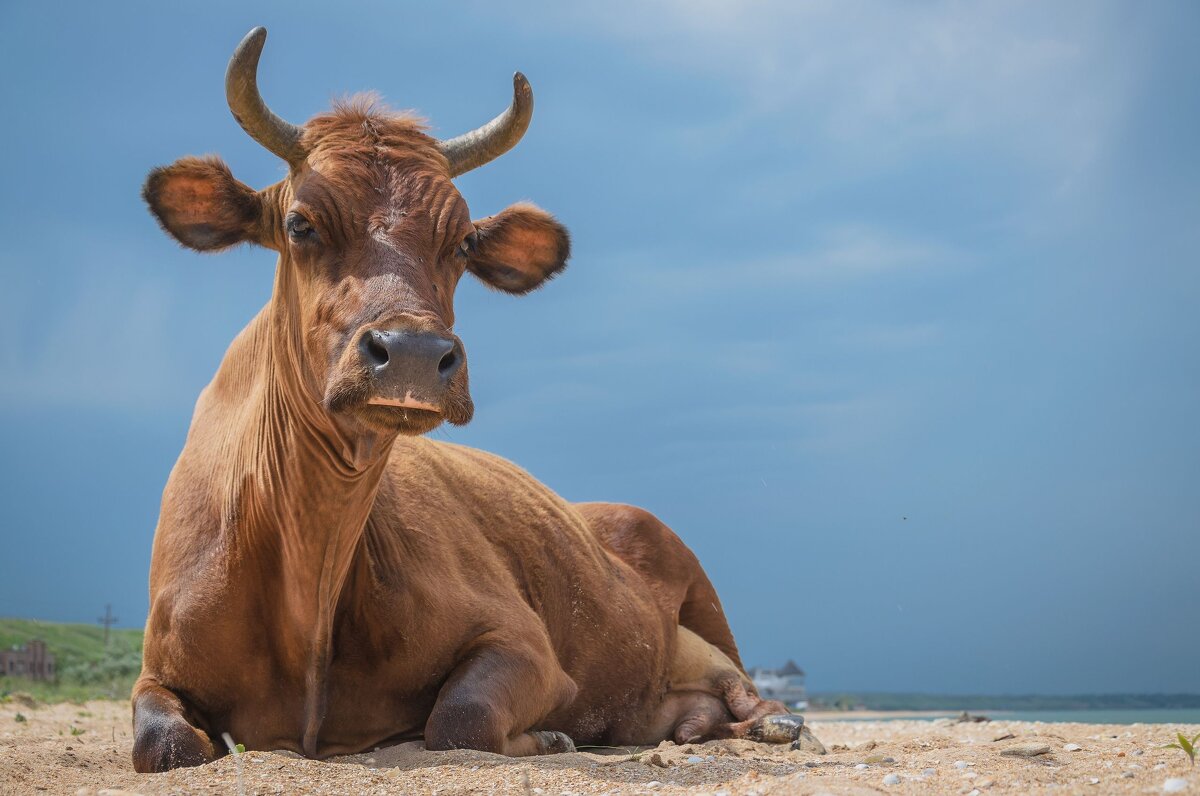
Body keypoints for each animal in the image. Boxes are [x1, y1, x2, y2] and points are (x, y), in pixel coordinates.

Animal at [131, 29, 816, 773]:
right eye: (300, 223)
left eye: (462, 241)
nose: (411, 354)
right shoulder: (156, 668)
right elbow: (162, 742)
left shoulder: (527, 644)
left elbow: (462, 717)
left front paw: (546, 736)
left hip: (702, 603)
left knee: (747, 684)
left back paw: (776, 724)